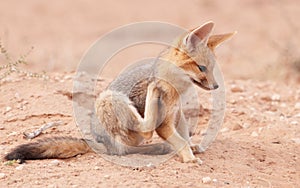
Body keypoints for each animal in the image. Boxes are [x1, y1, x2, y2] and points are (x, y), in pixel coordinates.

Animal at [3, 20, 236, 164]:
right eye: (202, 68)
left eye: (211, 70)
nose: (216, 87)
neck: (176, 89)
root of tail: (99, 142)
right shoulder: (164, 124)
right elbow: (178, 141)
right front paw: (189, 158)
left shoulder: (177, 115)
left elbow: (185, 137)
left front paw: (190, 148)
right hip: (110, 99)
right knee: (139, 135)